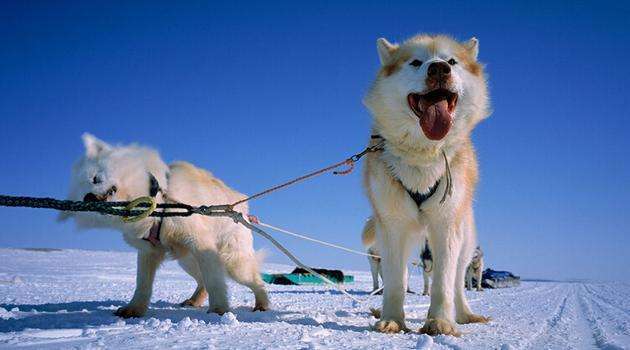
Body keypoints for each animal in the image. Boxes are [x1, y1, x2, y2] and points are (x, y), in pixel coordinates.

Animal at [61, 133, 272, 318]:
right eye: (81, 194)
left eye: (95, 178)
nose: (88, 197)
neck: (157, 202)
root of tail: (241, 205)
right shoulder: (148, 252)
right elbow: (142, 284)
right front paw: (133, 310)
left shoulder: (201, 244)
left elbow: (215, 281)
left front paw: (218, 311)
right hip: (187, 261)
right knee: (202, 281)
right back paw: (193, 300)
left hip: (232, 263)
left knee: (256, 281)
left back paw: (262, 305)